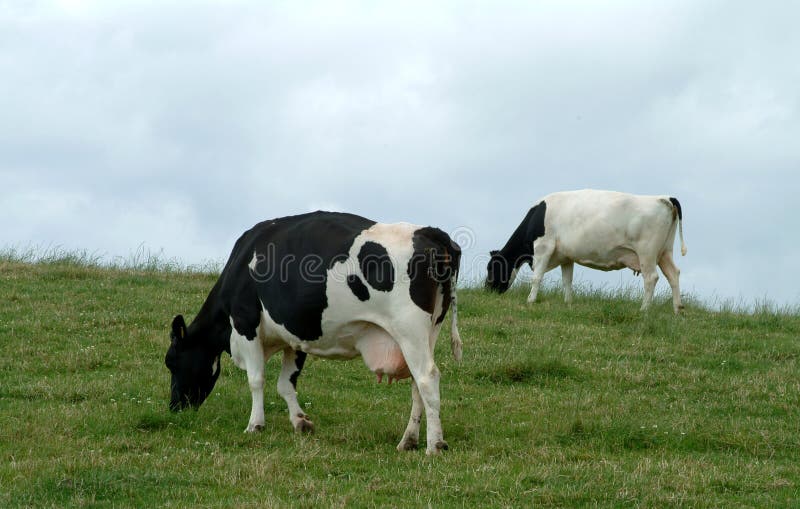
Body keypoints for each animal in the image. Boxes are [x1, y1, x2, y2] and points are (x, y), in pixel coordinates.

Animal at [163, 208, 462, 454]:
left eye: (171, 362)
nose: (174, 408)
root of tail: (429, 232)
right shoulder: (295, 336)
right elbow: (285, 384)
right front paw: (300, 422)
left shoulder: (246, 323)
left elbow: (256, 379)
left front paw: (255, 425)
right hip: (429, 330)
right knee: (416, 385)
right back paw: (408, 440)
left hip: (409, 328)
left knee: (427, 378)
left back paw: (434, 445)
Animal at [488, 189, 688, 312]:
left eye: (490, 268)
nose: (486, 289)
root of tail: (664, 198)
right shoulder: (566, 256)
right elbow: (567, 281)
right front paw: (568, 303)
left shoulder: (544, 247)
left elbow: (537, 277)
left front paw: (530, 301)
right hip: (664, 252)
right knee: (673, 274)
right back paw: (677, 309)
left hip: (647, 252)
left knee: (651, 278)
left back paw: (644, 310)